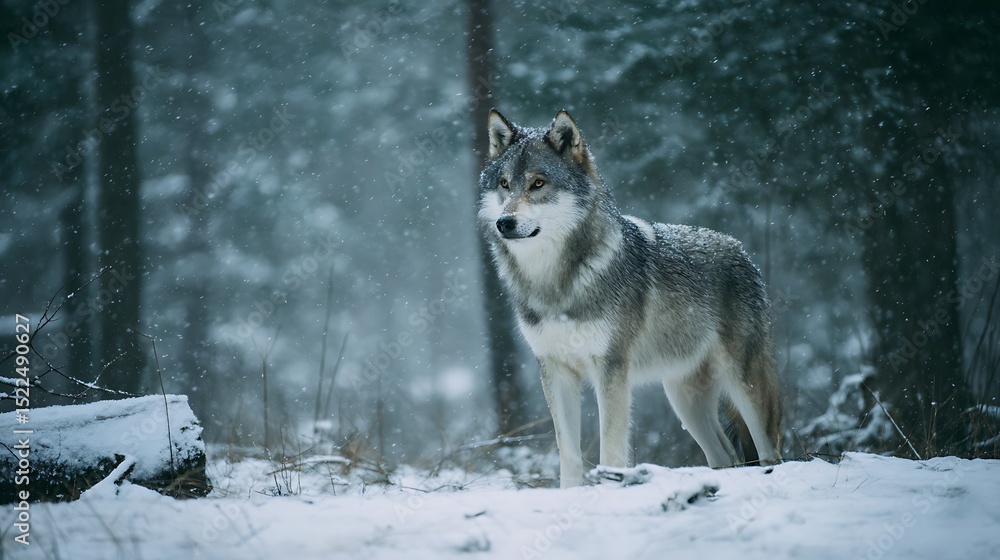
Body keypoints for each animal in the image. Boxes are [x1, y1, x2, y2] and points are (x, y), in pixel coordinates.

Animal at [478, 110, 782, 488]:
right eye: (504, 184)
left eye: (537, 183)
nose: (505, 222)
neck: (555, 283)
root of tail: (741, 250)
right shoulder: (555, 369)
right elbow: (569, 454)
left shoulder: (611, 368)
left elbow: (610, 448)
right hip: (683, 398)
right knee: (726, 457)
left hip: (744, 385)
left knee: (771, 450)